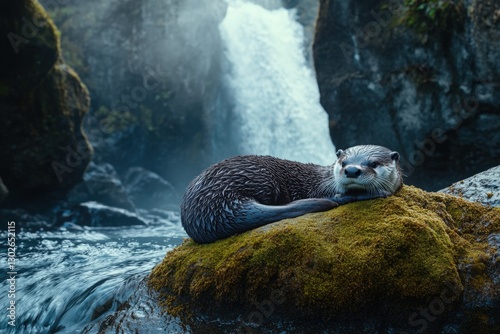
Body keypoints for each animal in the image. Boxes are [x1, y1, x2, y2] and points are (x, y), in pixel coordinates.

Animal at [180, 145, 402, 244]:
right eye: (343, 162)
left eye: (373, 163)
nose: (352, 170)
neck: (327, 181)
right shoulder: (322, 190)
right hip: (261, 177)